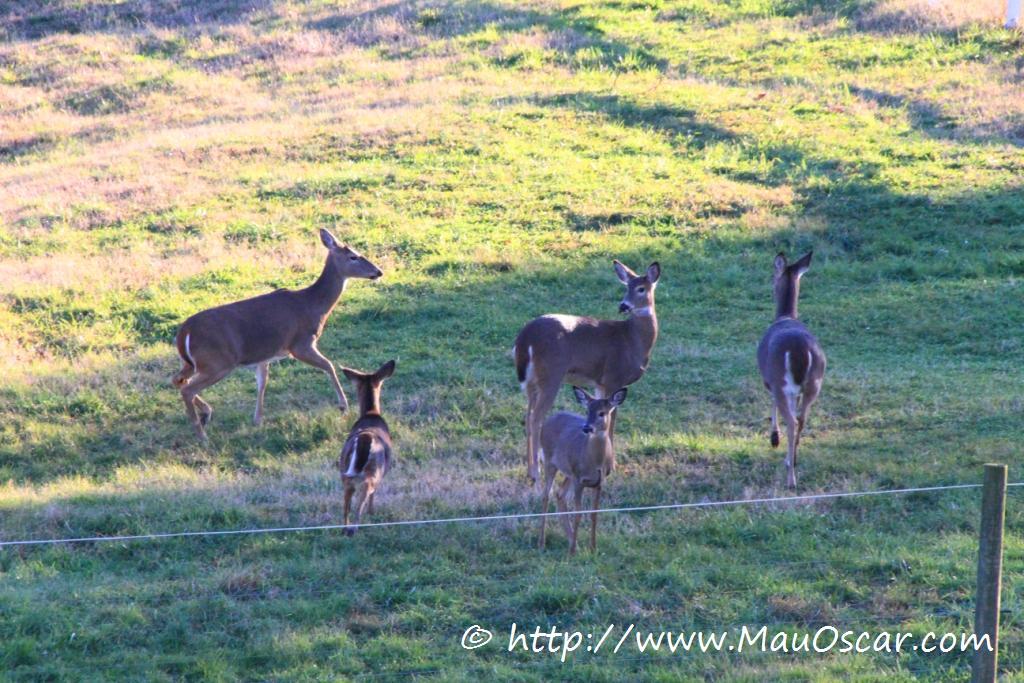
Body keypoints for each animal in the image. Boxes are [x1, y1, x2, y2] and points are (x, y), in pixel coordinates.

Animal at [169, 228, 382, 444]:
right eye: (353, 256)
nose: (378, 271)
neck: (313, 306)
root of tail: (184, 332)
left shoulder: (265, 356)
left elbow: (262, 383)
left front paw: (257, 419)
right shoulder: (300, 343)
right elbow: (329, 365)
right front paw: (343, 406)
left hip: (193, 363)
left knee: (177, 380)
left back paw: (206, 413)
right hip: (218, 362)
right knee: (187, 389)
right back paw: (202, 434)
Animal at [339, 360, 395, 536]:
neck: (371, 413)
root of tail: (364, 438)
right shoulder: (383, 471)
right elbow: (374, 495)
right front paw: (372, 512)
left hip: (344, 468)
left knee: (346, 502)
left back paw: (345, 528)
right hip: (374, 469)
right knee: (364, 494)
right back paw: (354, 528)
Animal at [512, 259, 663, 483]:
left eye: (641, 288)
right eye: (627, 287)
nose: (623, 306)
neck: (632, 340)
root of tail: (525, 338)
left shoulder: (600, 383)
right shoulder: (613, 377)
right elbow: (612, 419)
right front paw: (611, 466)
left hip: (531, 380)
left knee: (527, 415)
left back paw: (531, 468)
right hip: (551, 374)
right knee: (536, 417)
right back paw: (535, 471)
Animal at [540, 385, 626, 557]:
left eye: (602, 413)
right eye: (587, 410)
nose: (587, 427)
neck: (595, 463)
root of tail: (549, 419)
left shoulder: (599, 483)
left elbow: (594, 514)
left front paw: (593, 548)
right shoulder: (579, 479)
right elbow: (578, 514)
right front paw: (572, 552)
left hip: (569, 472)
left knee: (559, 494)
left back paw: (573, 541)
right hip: (550, 460)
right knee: (546, 495)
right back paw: (542, 542)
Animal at [757, 250, 827, 491]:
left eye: (773, 277)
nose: (770, 287)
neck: (785, 316)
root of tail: (801, 353)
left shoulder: (769, 379)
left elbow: (771, 402)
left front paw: (773, 438)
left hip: (781, 379)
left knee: (792, 420)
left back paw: (791, 479)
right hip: (814, 383)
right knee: (802, 418)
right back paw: (793, 460)